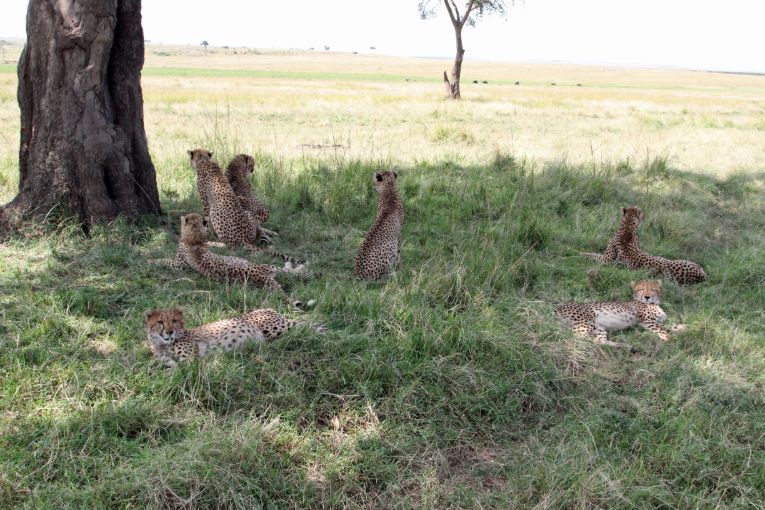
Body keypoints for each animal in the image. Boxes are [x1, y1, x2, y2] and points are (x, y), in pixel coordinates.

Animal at [145, 306, 320, 366]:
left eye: (174, 321)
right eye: (160, 322)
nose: (169, 332)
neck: (163, 344)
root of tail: (268, 308)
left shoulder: (190, 360)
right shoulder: (167, 361)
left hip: (275, 328)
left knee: (308, 325)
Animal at [153, 213, 314, 308]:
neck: (194, 236)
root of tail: (258, 275)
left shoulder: (179, 265)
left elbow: (163, 260)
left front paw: (150, 260)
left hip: (264, 266)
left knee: (291, 271)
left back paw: (298, 266)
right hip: (268, 269)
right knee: (289, 272)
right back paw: (297, 267)